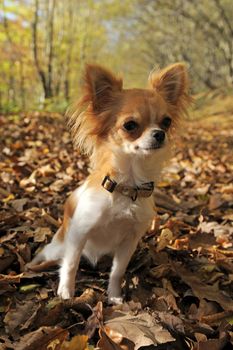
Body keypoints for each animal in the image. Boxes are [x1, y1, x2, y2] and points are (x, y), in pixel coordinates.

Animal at [27, 63, 191, 304]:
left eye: (167, 122)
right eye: (130, 125)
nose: (160, 134)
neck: (128, 186)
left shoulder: (130, 241)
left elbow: (118, 271)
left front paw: (114, 297)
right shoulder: (79, 233)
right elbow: (71, 264)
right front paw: (66, 292)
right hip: (57, 246)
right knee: (48, 256)